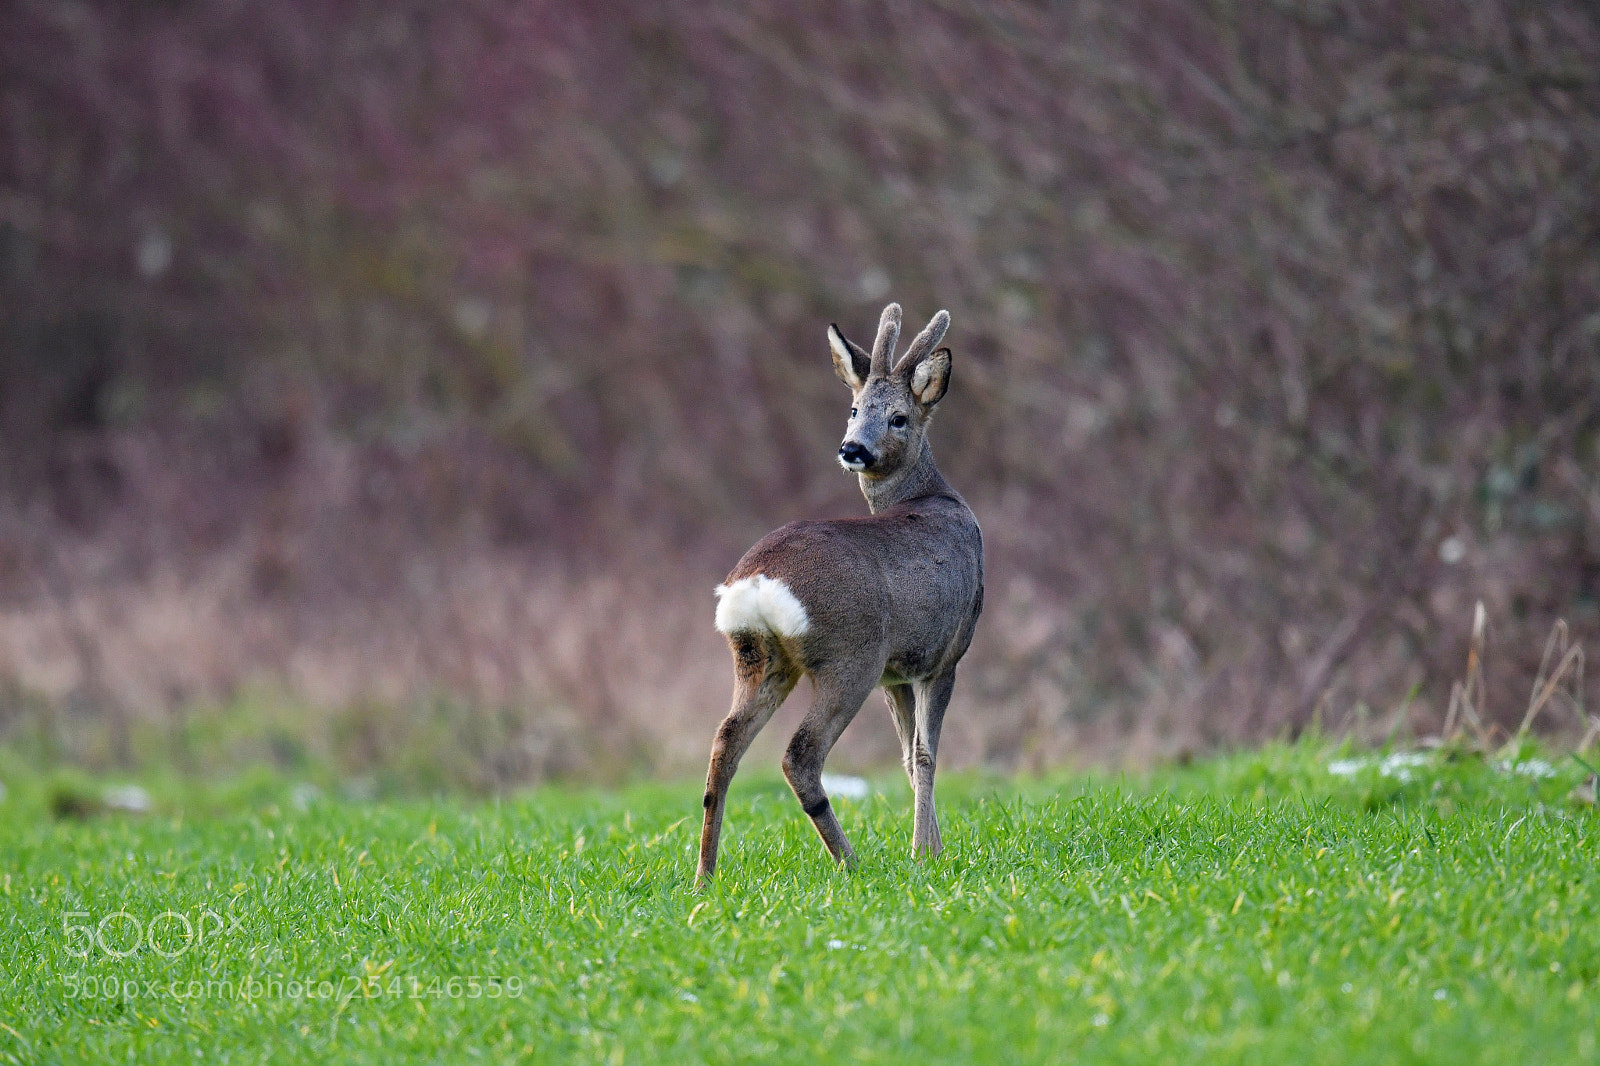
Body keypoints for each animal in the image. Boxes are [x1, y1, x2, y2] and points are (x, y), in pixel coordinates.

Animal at [696, 302, 984, 880]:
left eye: (897, 417)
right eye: (853, 409)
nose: (852, 449)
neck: (935, 496)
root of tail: (757, 582)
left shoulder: (897, 673)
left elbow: (907, 756)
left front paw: (928, 848)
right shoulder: (944, 655)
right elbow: (925, 755)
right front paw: (927, 854)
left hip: (759, 658)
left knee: (724, 745)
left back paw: (704, 876)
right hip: (849, 656)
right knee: (799, 754)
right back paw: (850, 862)